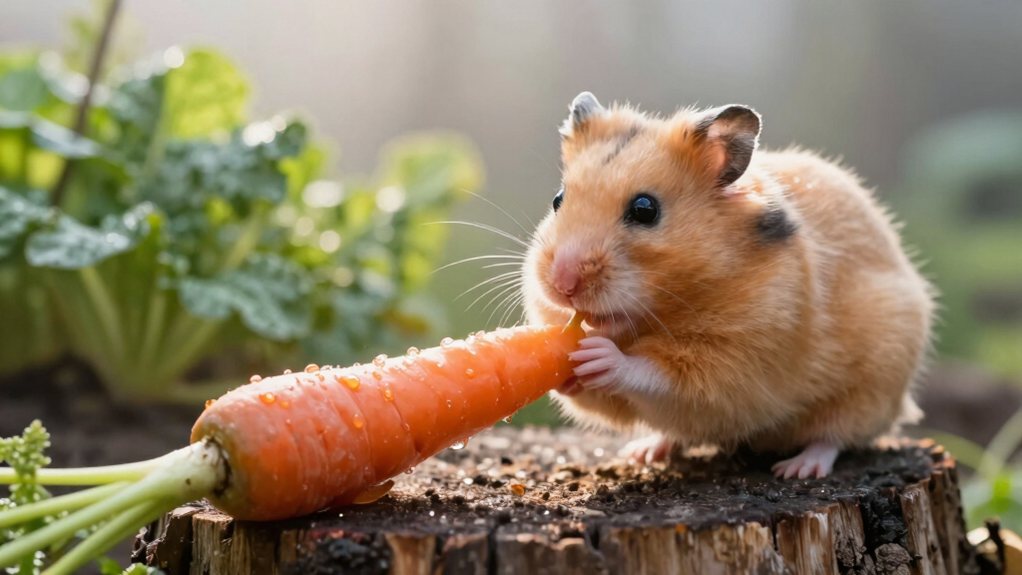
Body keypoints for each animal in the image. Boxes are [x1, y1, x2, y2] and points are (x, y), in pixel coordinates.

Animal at [522, 92, 934, 478]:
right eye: (558, 200)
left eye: (644, 209)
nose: (562, 284)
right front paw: (565, 367)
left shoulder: (738, 361)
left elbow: (659, 375)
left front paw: (599, 355)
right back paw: (643, 452)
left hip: (873, 386)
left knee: (835, 436)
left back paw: (797, 468)